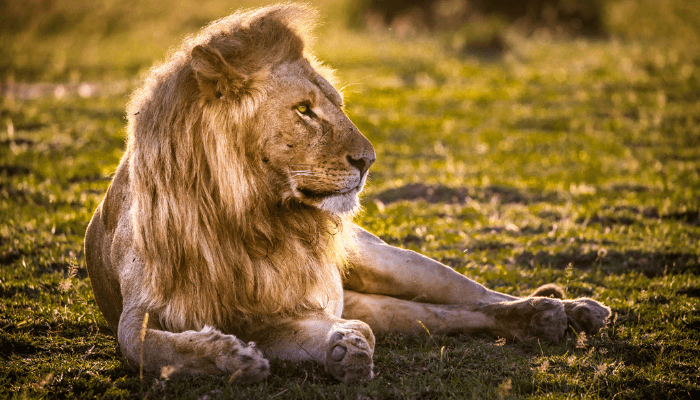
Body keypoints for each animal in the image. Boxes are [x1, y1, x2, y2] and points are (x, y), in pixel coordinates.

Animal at [84, 4, 610, 384]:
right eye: (303, 110)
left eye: (336, 105)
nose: (368, 160)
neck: (246, 216)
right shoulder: (153, 307)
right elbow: (140, 343)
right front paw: (236, 360)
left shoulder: (286, 303)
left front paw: (342, 347)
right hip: (375, 298)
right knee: (443, 316)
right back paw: (543, 320)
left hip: (391, 261)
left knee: (479, 297)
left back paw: (571, 311)